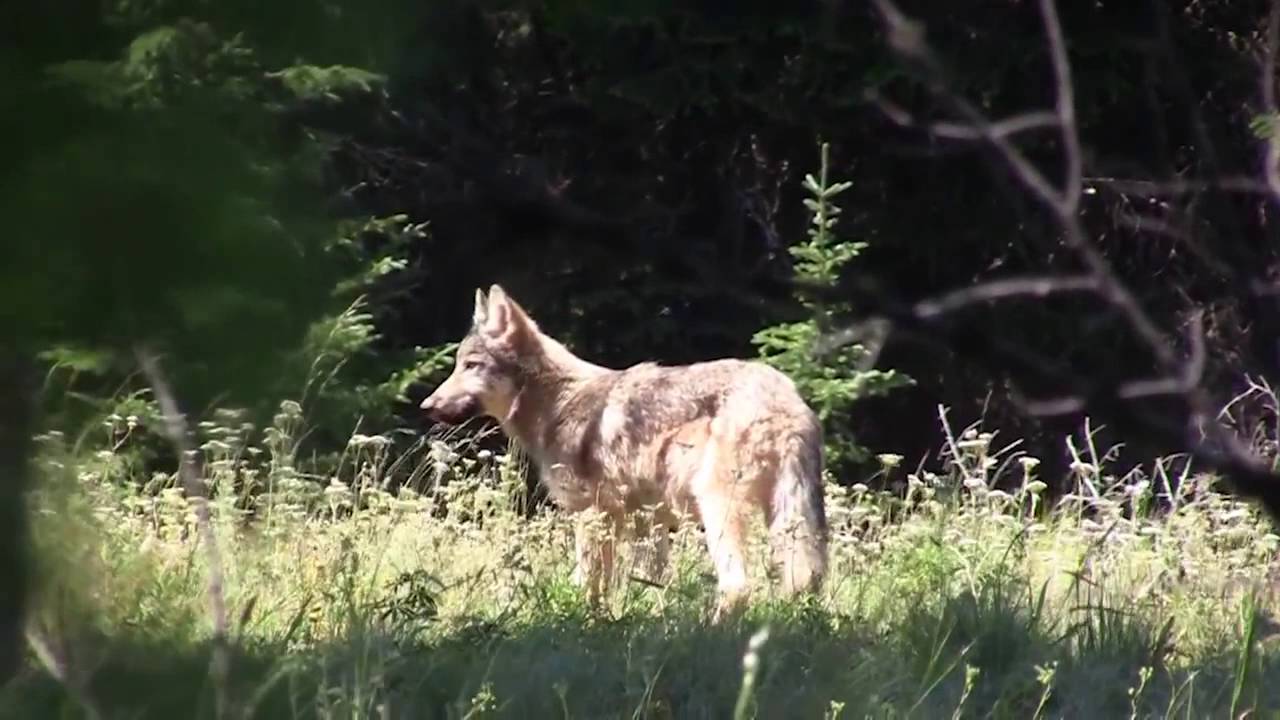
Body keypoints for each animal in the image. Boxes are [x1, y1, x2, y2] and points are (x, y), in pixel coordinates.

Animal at [419, 285, 829, 616]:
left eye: (471, 366)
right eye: (458, 365)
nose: (426, 405)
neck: (557, 405)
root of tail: (787, 397)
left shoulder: (592, 516)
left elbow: (585, 585)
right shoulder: (642, 524)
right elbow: (632, 586)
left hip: (717, 509)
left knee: (738, 586)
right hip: (784, 519)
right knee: (804, 581)